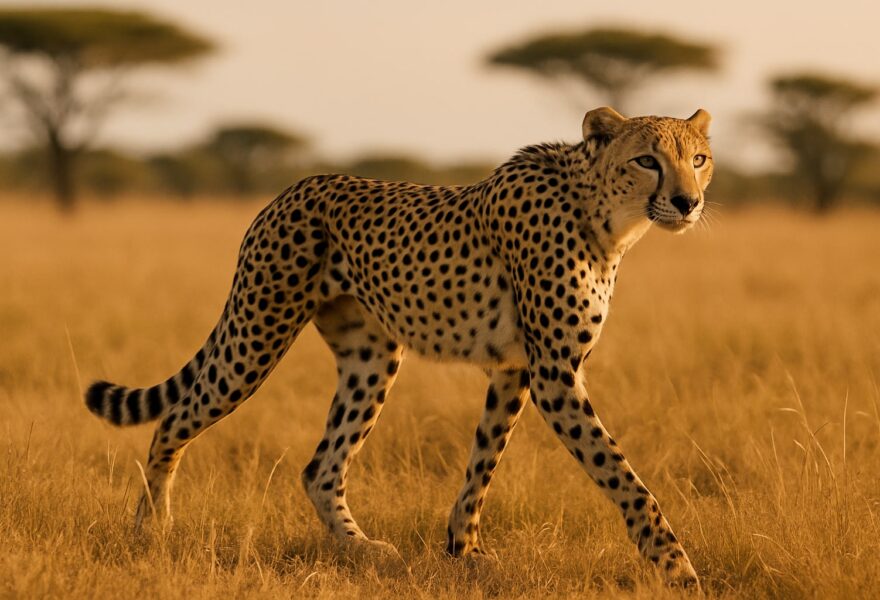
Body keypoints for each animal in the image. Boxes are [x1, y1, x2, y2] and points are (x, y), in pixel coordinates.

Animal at [85, 107, 713, 588]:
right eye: (647, 160)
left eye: (699, 159)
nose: (687, 203)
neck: (606, 218)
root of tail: (293, 188)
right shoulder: (556, 373)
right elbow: (623, 476)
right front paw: (678, 568)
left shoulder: (515, 369)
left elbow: (483, 462)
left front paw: (464, 552)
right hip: (258, 333)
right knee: (174, 419)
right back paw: (150, 529)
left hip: (370, 357)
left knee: (320, 467)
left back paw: (359, 548)